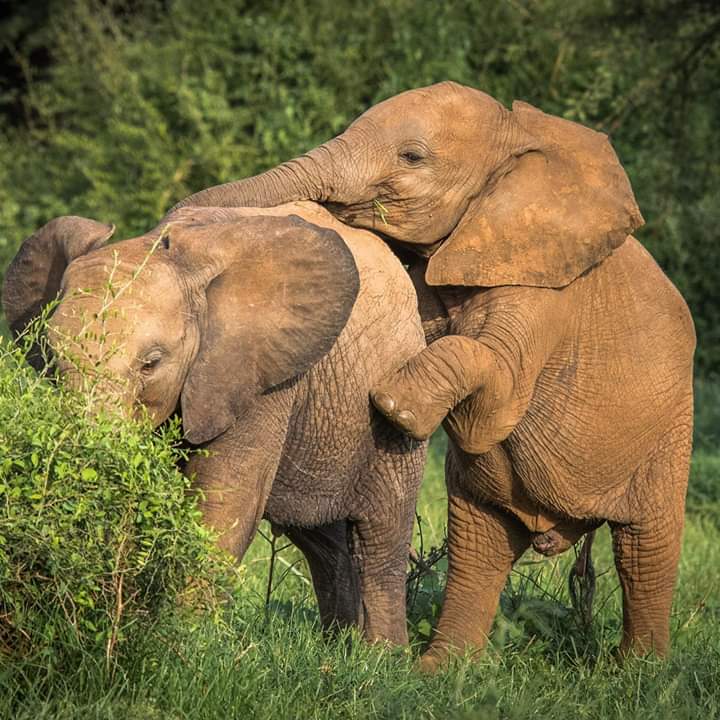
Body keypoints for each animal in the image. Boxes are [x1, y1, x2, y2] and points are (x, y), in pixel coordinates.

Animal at [0, 201, 428, 640]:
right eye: (52, 359)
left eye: (152, 363)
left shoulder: (252, 372)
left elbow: (224, 500)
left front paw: (184, 639)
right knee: (324, 545)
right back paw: (337, 647)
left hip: (394, 407)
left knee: (379, 542)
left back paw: (377, 654)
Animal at [170, 81, 696, 668]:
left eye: (412, 157)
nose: (174, 224)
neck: (519, 138)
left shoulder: (548, 294)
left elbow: (497, 387)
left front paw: (394, 405)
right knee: (481, 544)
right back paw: (439, 671)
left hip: (669, 431)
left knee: (644, 549)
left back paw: (639, 672)